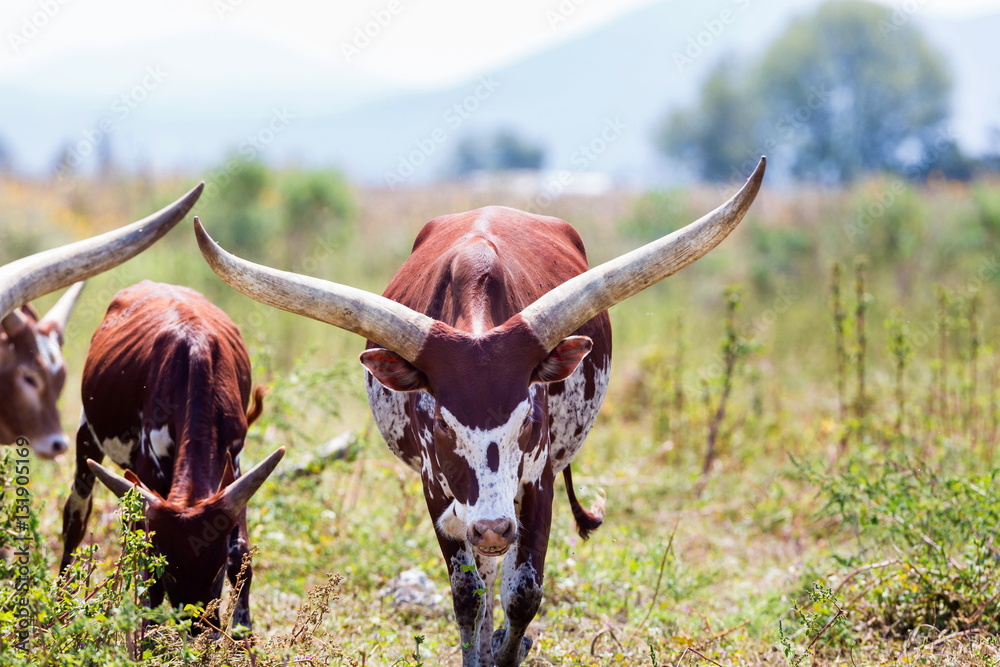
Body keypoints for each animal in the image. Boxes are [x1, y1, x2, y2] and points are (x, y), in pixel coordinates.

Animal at [59, 281, 284, 634]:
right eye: (171, 573)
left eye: (216, 569)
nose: (200, 628)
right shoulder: (148, 472)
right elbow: (147, 572)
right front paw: (147, 638)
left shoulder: (234, 467)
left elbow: (242, 555)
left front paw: (244, 638)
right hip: (87, 436)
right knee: (76, 515)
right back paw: (61, 605)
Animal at [194, 158, 765, 666]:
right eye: (441, 424)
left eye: (528, 420)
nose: (492, 527)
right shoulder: (436, 486)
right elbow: (468, 594)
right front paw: (481, 651)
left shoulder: (538, 480)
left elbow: (525, 590)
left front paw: (510, 649)